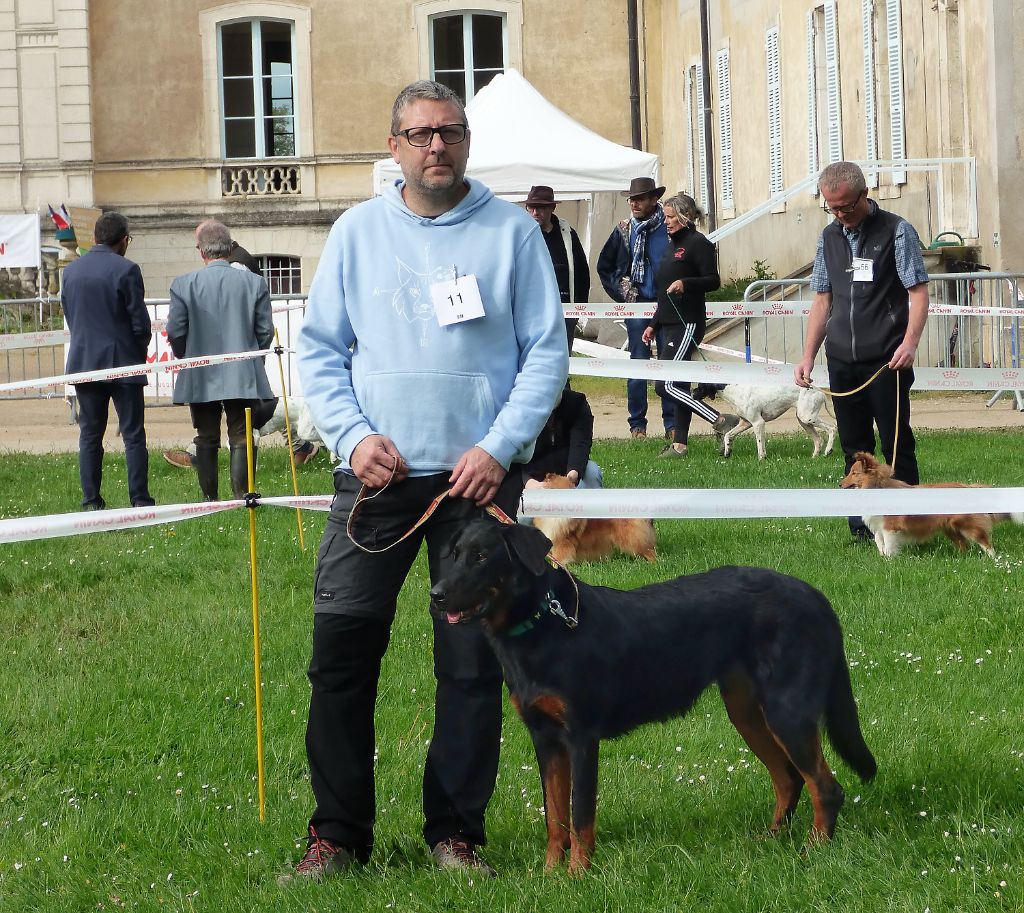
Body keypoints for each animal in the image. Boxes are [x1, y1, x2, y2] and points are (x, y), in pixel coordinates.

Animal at [428, 519, 876, 872]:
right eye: (454, 554)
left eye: (482, 557)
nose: (436, 594)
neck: (541, 623)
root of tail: (816, 597)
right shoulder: (546, 739)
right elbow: (555, 817)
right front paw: (550, 875)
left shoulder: (581, 738)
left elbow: (580, 814)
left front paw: (577, 875)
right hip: (747, 711)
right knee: (789, 778)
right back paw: (770, 840)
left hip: (788, 710)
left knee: (825, 787)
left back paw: (813, 853)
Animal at [692, 380, 835, 460]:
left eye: (699, 386)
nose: (692, 393)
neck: (733, 391)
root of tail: (820, 391)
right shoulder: (745, 423)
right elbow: (728, 435)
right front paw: (727, 452)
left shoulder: (758, 423)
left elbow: (760, 444)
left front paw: (761, 459)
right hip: (804, 420)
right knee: (818, 440)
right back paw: (814, 457)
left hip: (807, 417)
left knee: (832, 428)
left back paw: (828, 451)